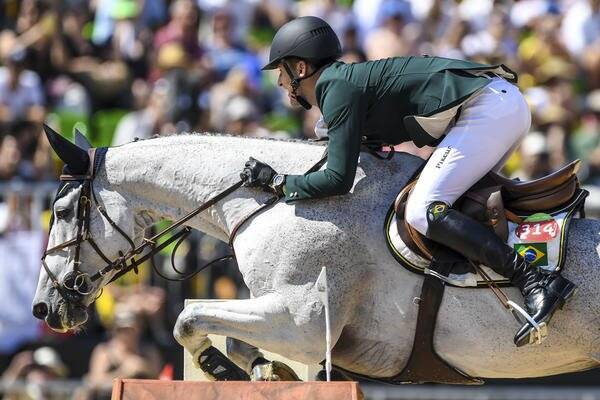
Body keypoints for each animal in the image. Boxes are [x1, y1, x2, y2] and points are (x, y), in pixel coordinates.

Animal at [31, 130, 600, 382]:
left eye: (61, 209)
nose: (44, 308)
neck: (274, 200)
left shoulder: (302, 320)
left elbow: (187, 319)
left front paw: (219, 368)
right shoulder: (282, 316)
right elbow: (232, 336)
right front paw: (261, 371)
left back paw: (543, 297)